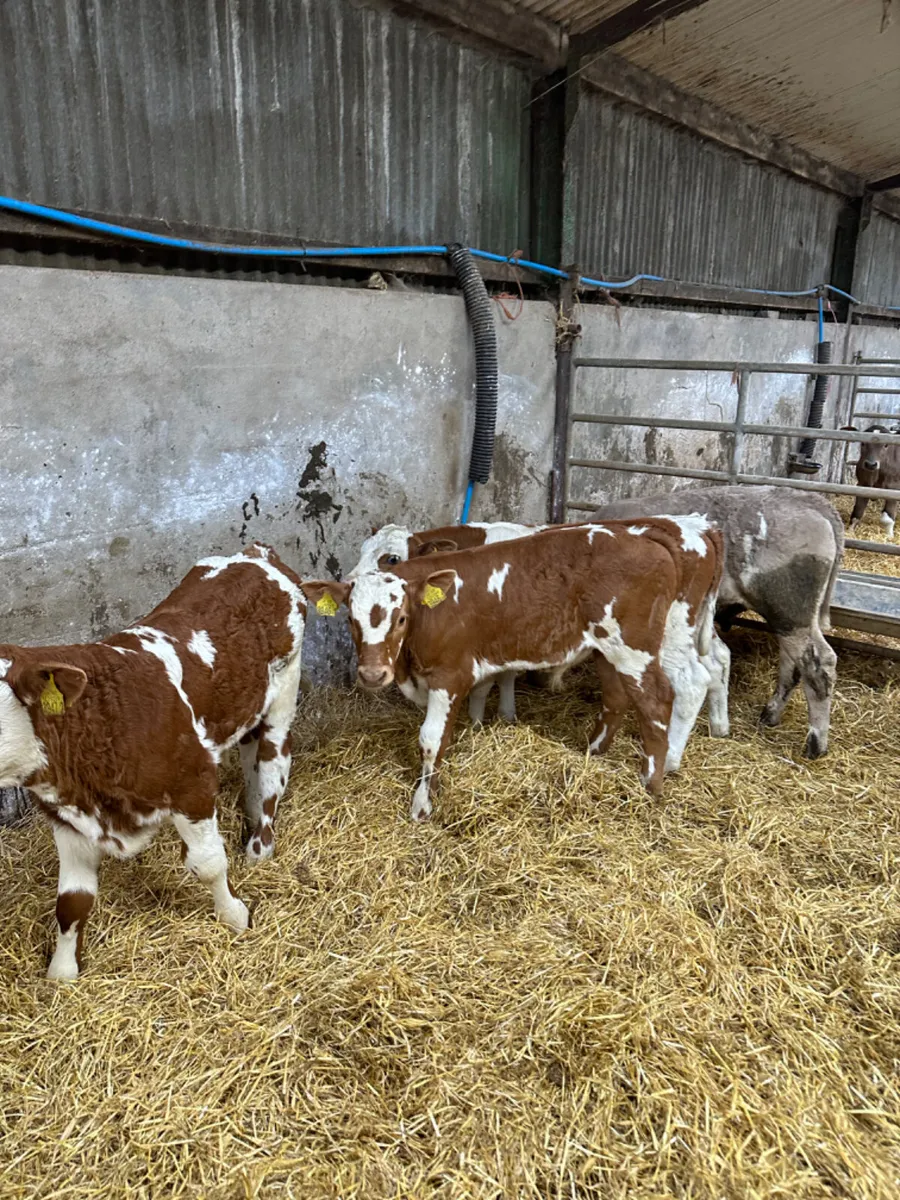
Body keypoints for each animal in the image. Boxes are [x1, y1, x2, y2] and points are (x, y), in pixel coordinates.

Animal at [0, 543, 307, 980]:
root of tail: (255, 554)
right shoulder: (67, 817)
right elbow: (72, 902)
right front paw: (62, 972)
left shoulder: (193, 784)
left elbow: (208, 863)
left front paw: (235, 916)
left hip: (283, 692)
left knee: (270, 766)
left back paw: (259, 846)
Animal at [308, 516, 726, 820]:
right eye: (352, 620)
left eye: (400, 618)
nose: (372, 675)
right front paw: (480, 726)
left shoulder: (450, 674)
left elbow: (432, 739)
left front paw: (423, 804)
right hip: (610, 649)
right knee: (625, 693)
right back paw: (595, 752)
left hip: (644, 646)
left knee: (668, 695)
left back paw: (654, 779)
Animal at [593, 485, 843, 759]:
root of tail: (813, 502)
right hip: (793, 618)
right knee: (792, 666)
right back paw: (770, 715)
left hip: (790, 610)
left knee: (818, 665)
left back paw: (815, 744)